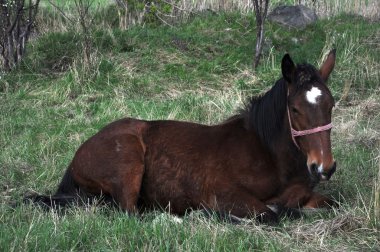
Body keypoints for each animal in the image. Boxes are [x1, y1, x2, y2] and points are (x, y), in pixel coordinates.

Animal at [26, 50, 338, 223]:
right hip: (128, 161)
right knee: (130, 213)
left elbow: (330, 204)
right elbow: (271, 214)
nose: (324, 167)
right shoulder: (225, 194)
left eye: (331, 104)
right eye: (295, 109)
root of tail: (78, 155)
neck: (268, 155)